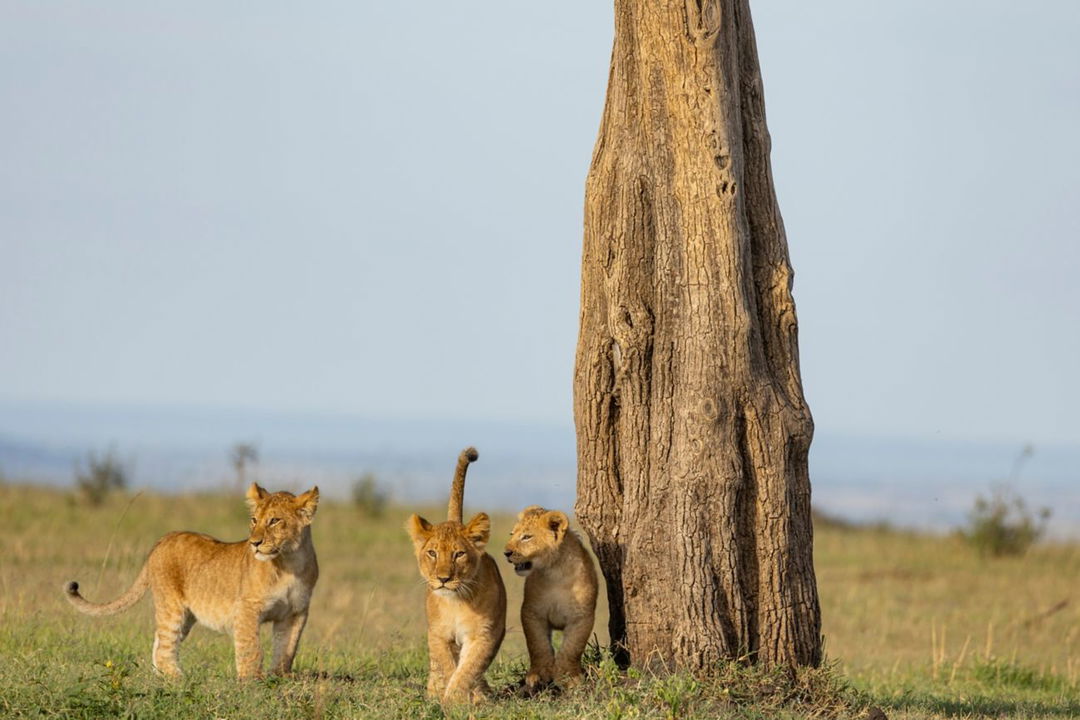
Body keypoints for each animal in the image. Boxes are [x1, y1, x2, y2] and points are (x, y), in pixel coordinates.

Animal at [64, 483, 319, 679]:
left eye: (275, 520)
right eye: (254, 520)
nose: (254, 543)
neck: (290, 563)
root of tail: (163, 539)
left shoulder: (296, 612)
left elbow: (286, 648)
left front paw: (279, 677)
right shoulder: (247, 609)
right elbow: (251, 647)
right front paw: (252, 682)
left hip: (186, 615)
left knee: (159, 643)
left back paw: (162, 677)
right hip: (171, 606)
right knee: (165, 646)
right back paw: (178, 679)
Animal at [405, 447, 506, 703]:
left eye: (459, 554)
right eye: (432, 553)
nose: (443, 579)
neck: (457, 601)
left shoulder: (484, 635)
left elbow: (469, 669)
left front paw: (457, 700)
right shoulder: (438, 635)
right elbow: (447, 666)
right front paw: (447, 697)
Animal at [503, 505, 598, 692]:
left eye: (527, 537)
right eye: (512, 534)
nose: (506, 553)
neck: (555, 573)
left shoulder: (582, 616)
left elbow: (572, 647)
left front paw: (569, 677)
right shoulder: (532, 612)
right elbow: (538, 645)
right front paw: (538, 675)